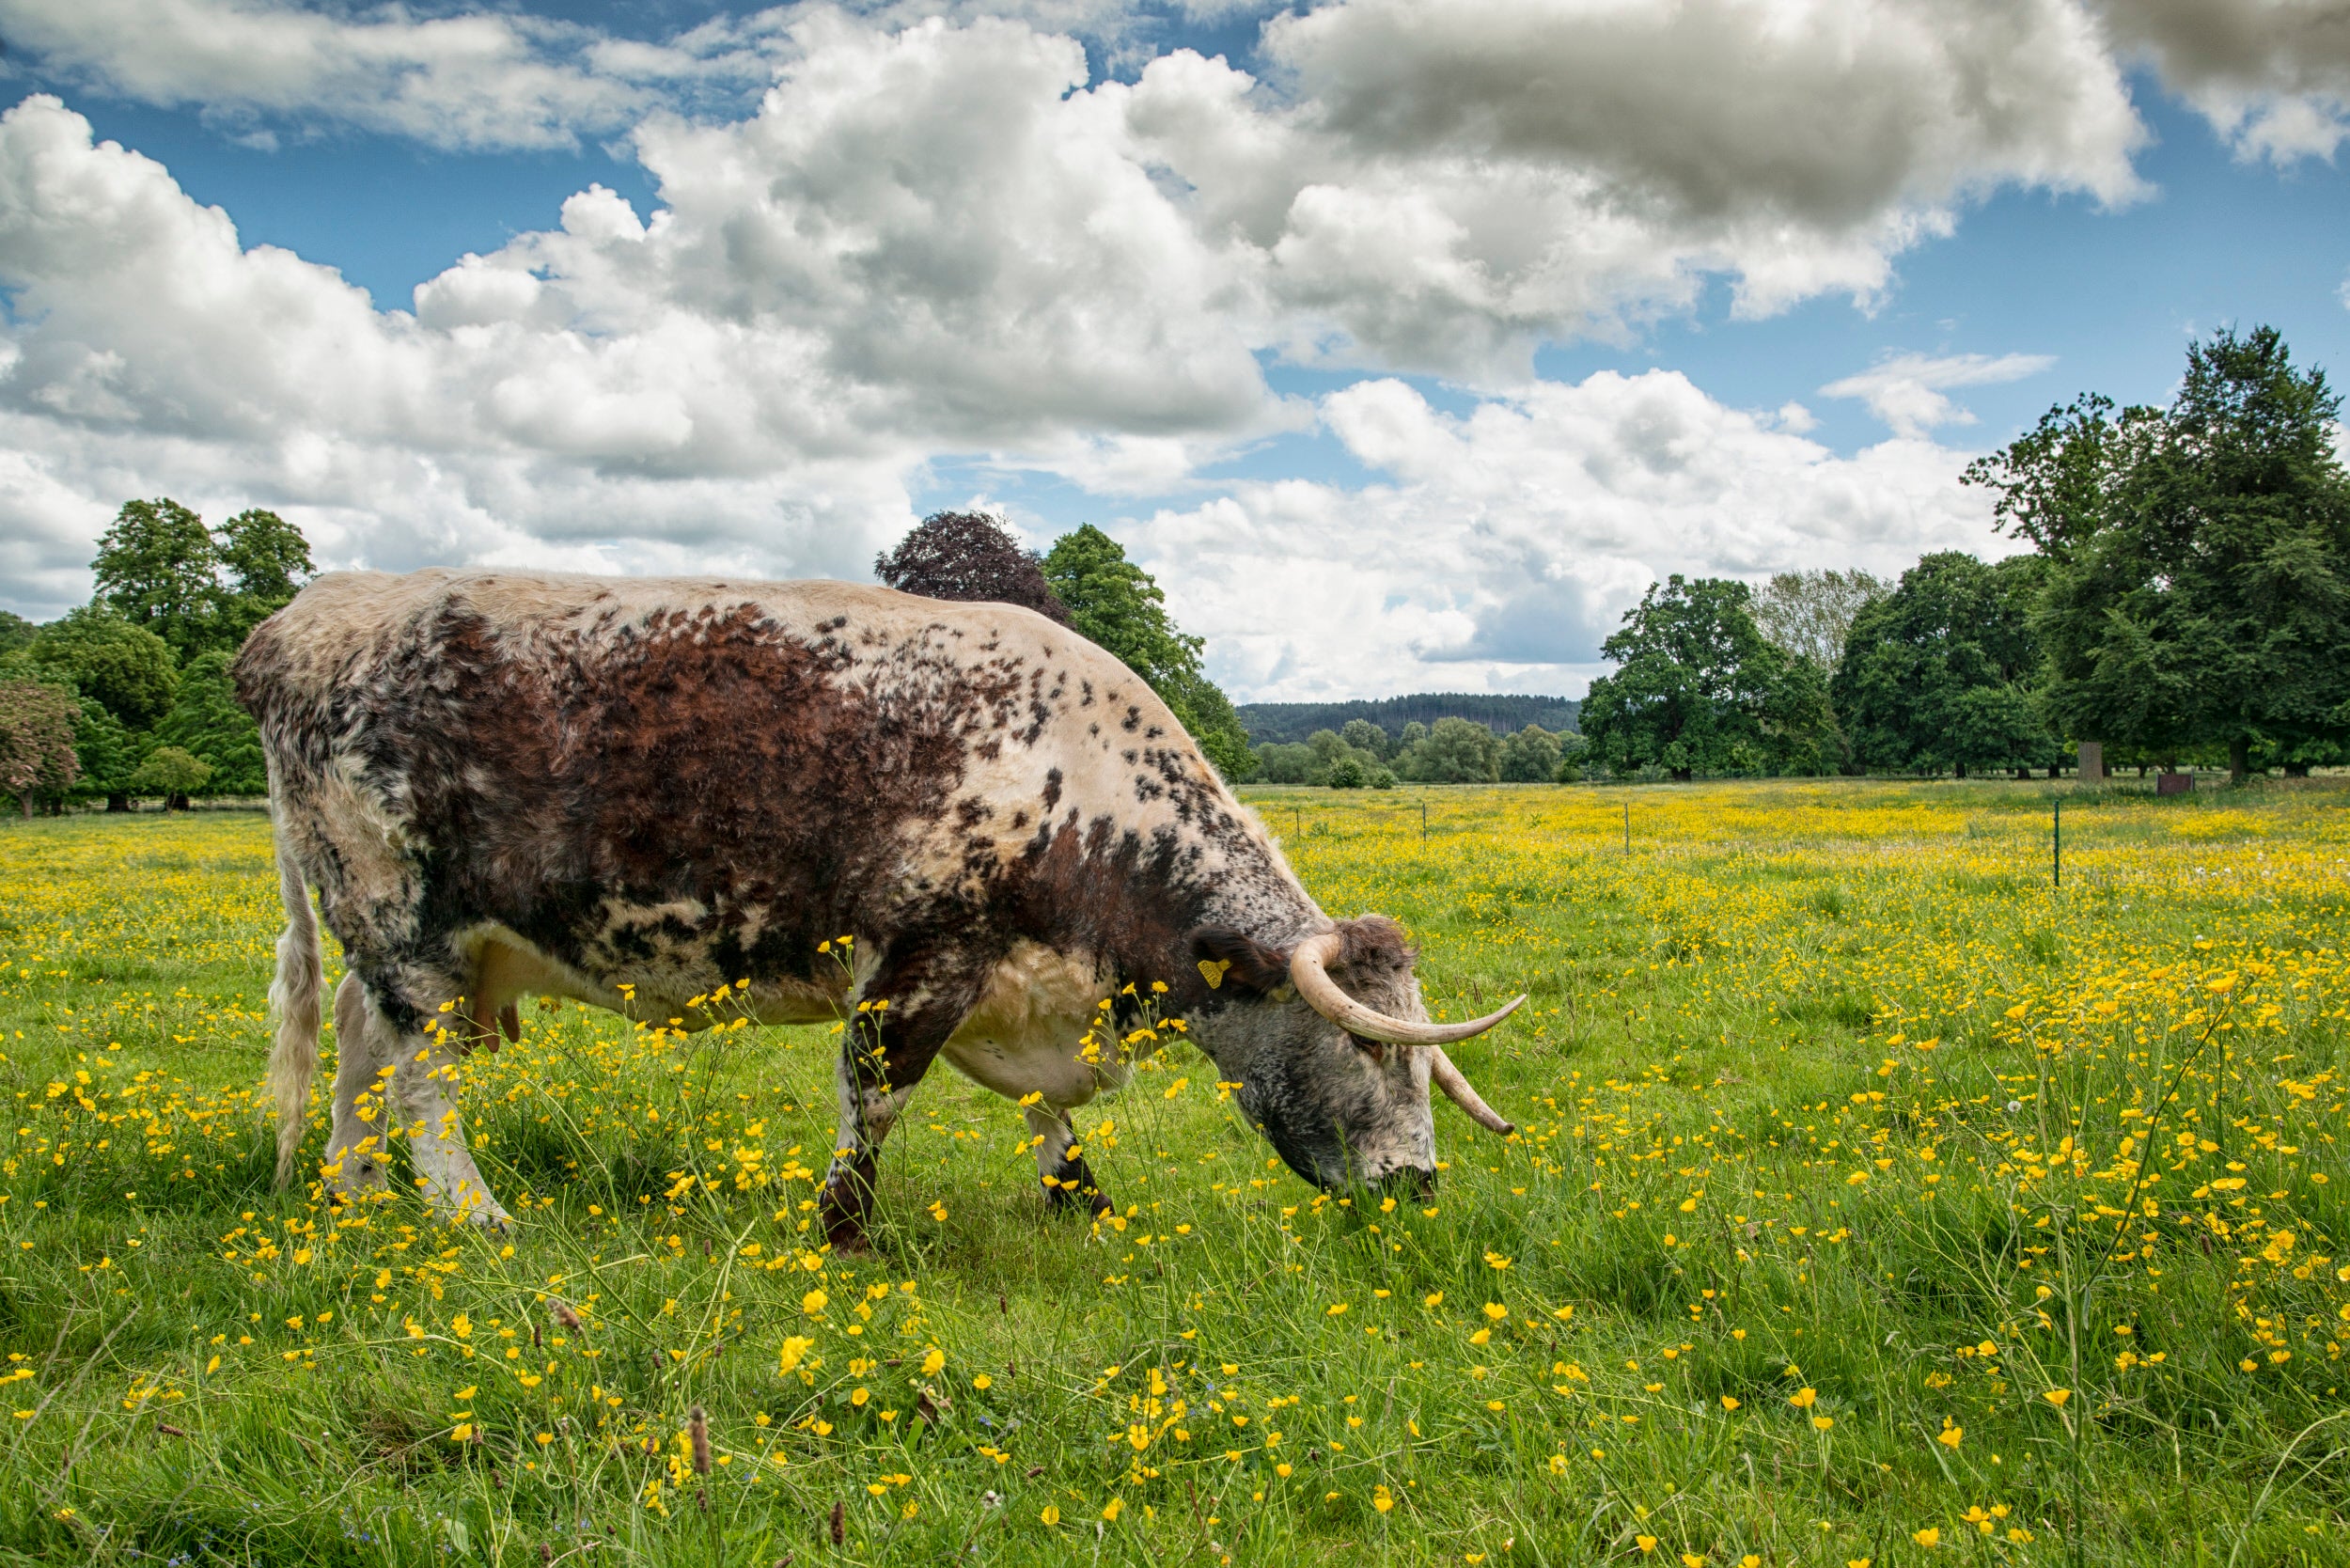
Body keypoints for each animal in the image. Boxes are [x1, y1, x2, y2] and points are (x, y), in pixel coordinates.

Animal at [234, 569, 1522, 1247]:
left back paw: (353, 1197)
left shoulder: (1014, 992)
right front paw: (844, 1232)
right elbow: (876, 1099)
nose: (1419, 1187)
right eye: (1366, 1050)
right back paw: (476, 1219)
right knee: (421, 1082)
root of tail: (315, 612)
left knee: (356, 1048)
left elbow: (1049, 1122)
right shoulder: (917, 959)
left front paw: (1084, 1208)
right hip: (408, 931)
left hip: (404, 948)